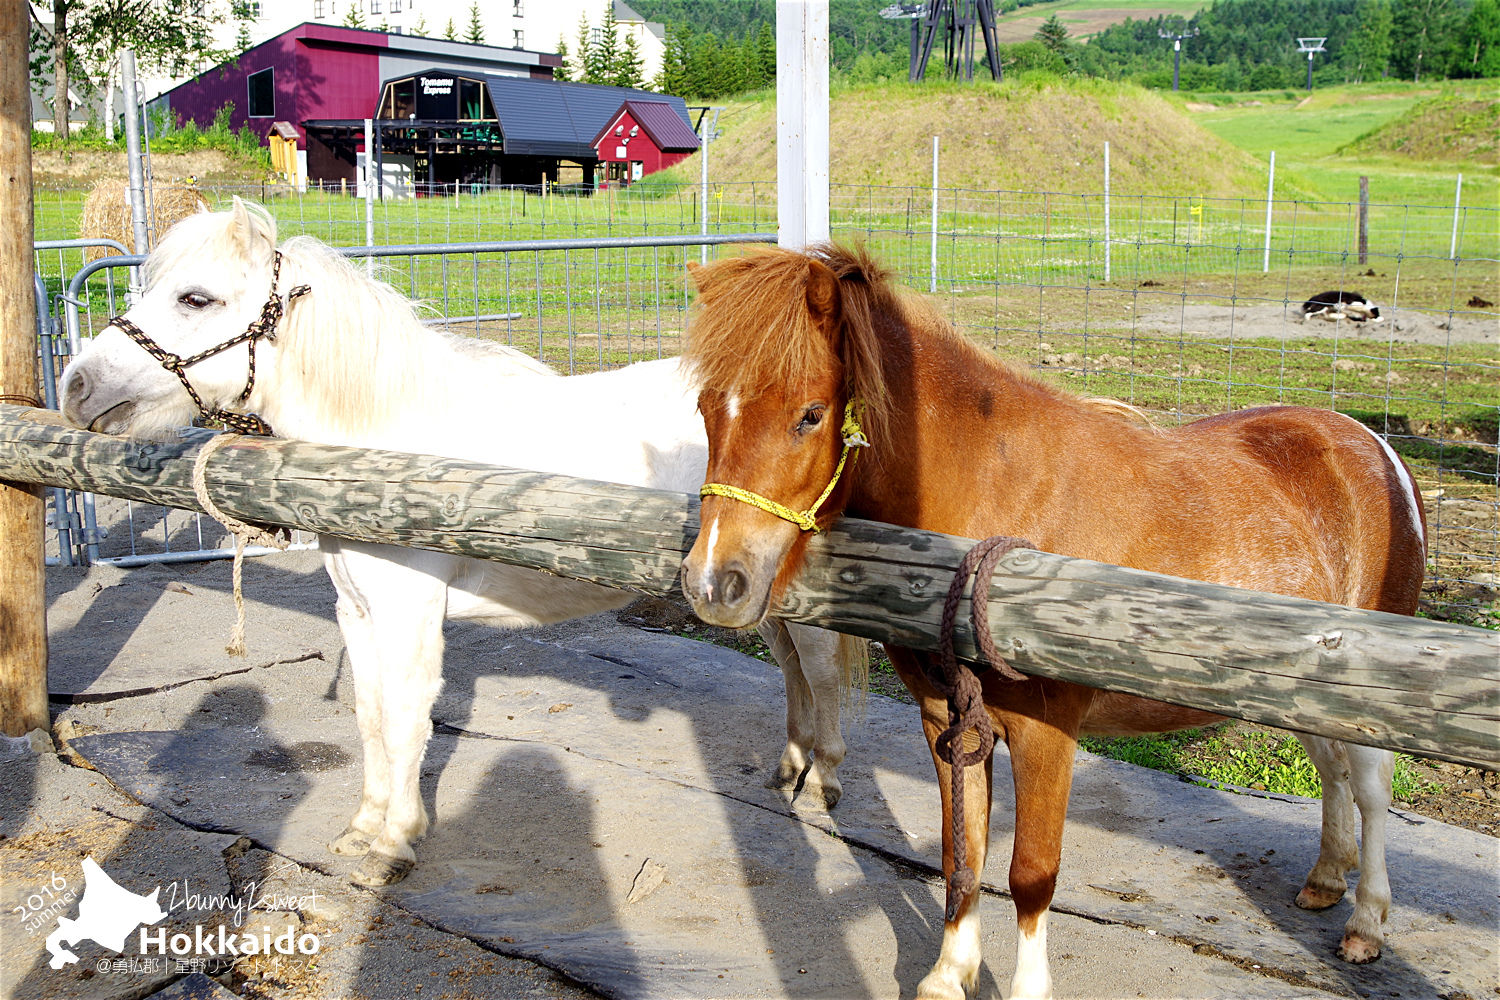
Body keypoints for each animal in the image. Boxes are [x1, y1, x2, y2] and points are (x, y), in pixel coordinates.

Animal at [61, 199, 870, 887]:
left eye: (196, 299)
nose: (76, 385)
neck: (390, 452)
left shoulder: (408, 614)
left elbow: (405, 718)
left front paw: (394, 845)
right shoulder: (358, 611)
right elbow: (370, 715)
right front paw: (364, 828)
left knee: (821, 669)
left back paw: (824, 778)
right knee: (794, 668)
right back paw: (790, 768)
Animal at [681, 244, 1428, 1000]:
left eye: (810, 414)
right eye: (706, 407)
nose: (714, 583)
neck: (999, 510)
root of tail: (1370, 445)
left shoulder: (1048, 733)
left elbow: (1030, 875)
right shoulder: (947, 719)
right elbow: (961, 856)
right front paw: (950, 974)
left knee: (1371, 788)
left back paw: (1366, 922)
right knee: (1332, 769)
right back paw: (1325, 879)